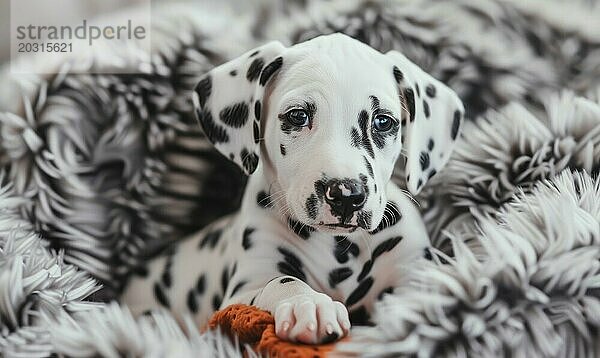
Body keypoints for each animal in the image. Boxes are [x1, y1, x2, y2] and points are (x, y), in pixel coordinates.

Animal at [123, 33, 464, 344]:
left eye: (383, 122)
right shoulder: (243, 290)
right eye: (298, 116)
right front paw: (308, 303)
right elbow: (280, 282)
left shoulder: (410, 267)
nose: (346, 195)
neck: (340, 250)